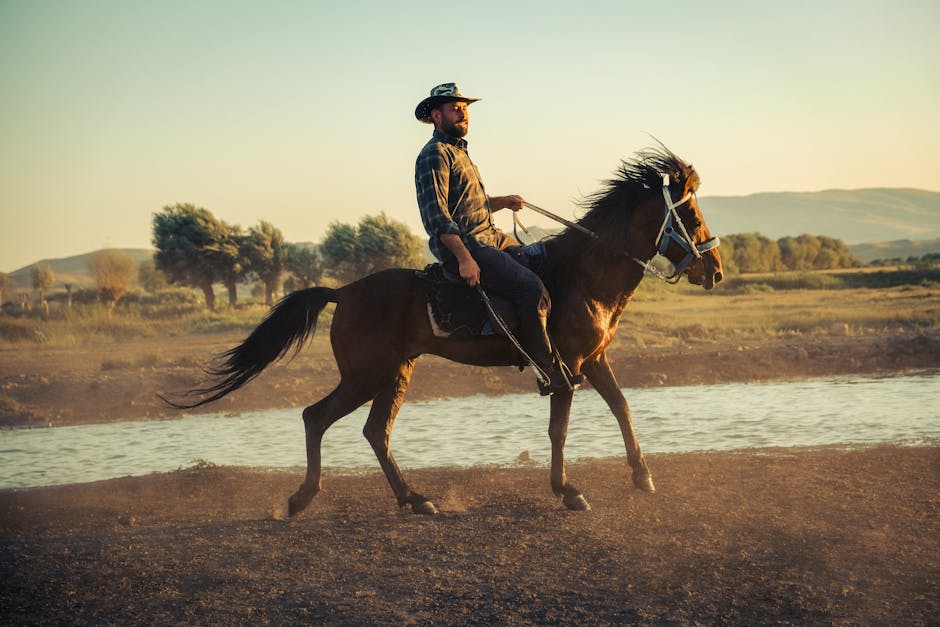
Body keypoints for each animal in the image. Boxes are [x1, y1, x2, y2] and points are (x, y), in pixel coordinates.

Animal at [173, 146, 724, 516]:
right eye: (692, 214)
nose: (715, 270)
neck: (582, 274)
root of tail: (344, 292)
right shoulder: (564, 367)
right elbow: (560, 429)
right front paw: (568, 491)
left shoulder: (594, 360)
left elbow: (623, 408)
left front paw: (642, 475)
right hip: (366, 375)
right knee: (317, 418)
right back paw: (302, 498)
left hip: (395, 373)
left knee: (374, 432)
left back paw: (415, 499)